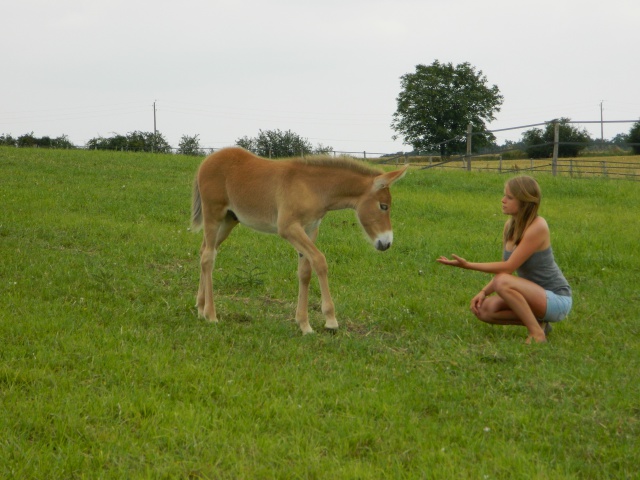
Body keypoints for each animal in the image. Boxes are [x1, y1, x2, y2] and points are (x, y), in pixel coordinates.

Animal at [192, 146, 408, 334]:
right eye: (383, 206)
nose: (386, 243)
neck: (313, 187)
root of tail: (206, 161)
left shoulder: (310, 229)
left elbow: (305, 271)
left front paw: (304, 324)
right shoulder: (289, 228)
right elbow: (320, 261)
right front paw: (331, 320)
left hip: (229, 220)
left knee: (204, 251)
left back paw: (200, 307)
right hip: (213, 215)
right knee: (208, 257)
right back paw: (211, 314)